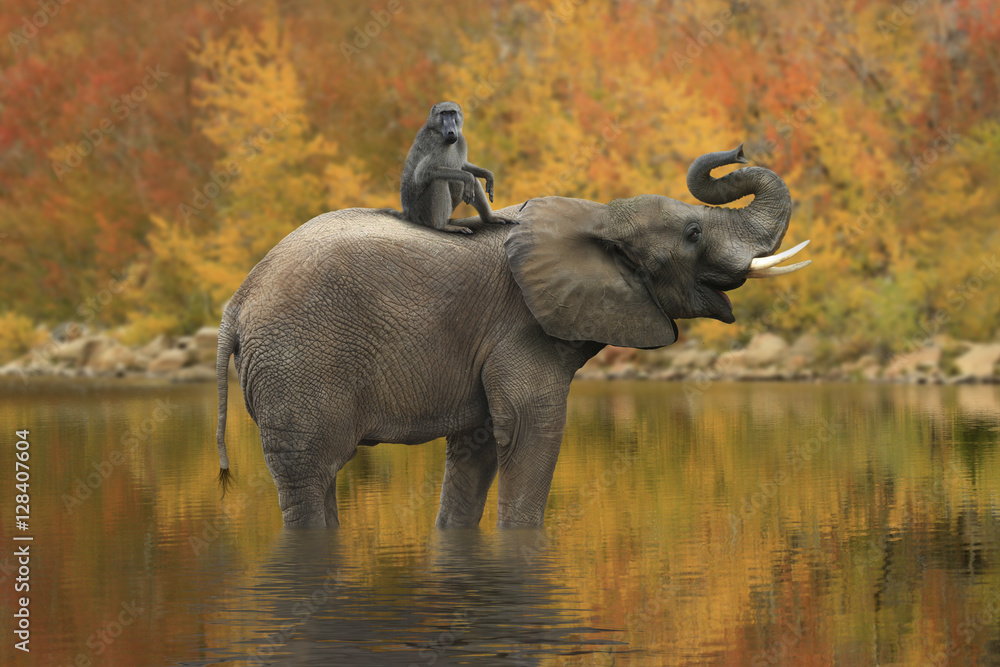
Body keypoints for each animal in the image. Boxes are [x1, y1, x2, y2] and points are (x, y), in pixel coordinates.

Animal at [213, 145, 810, 528]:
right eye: (692, 232)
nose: (736, 151)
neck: (597, 216)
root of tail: (235, 303)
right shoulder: (521, 330)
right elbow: (531, 431)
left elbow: (475, 449)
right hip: (298, 365)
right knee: (309, 475)